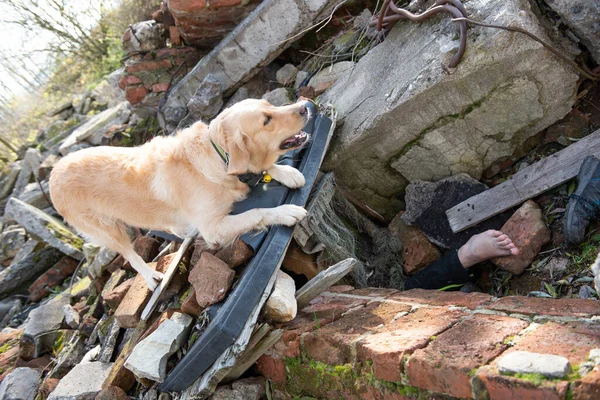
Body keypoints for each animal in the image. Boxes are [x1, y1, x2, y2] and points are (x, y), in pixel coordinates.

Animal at [49, 98, 312, 290]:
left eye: (270, 105)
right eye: (266, 120)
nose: (305, 106)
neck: (218, 157)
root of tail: (53, 173)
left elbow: (264, 169)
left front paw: (286, 172)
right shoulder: (212, 229)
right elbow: (257, 211)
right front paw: (285, 212)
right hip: (108, 230)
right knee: (129, 254)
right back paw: (150, 276)